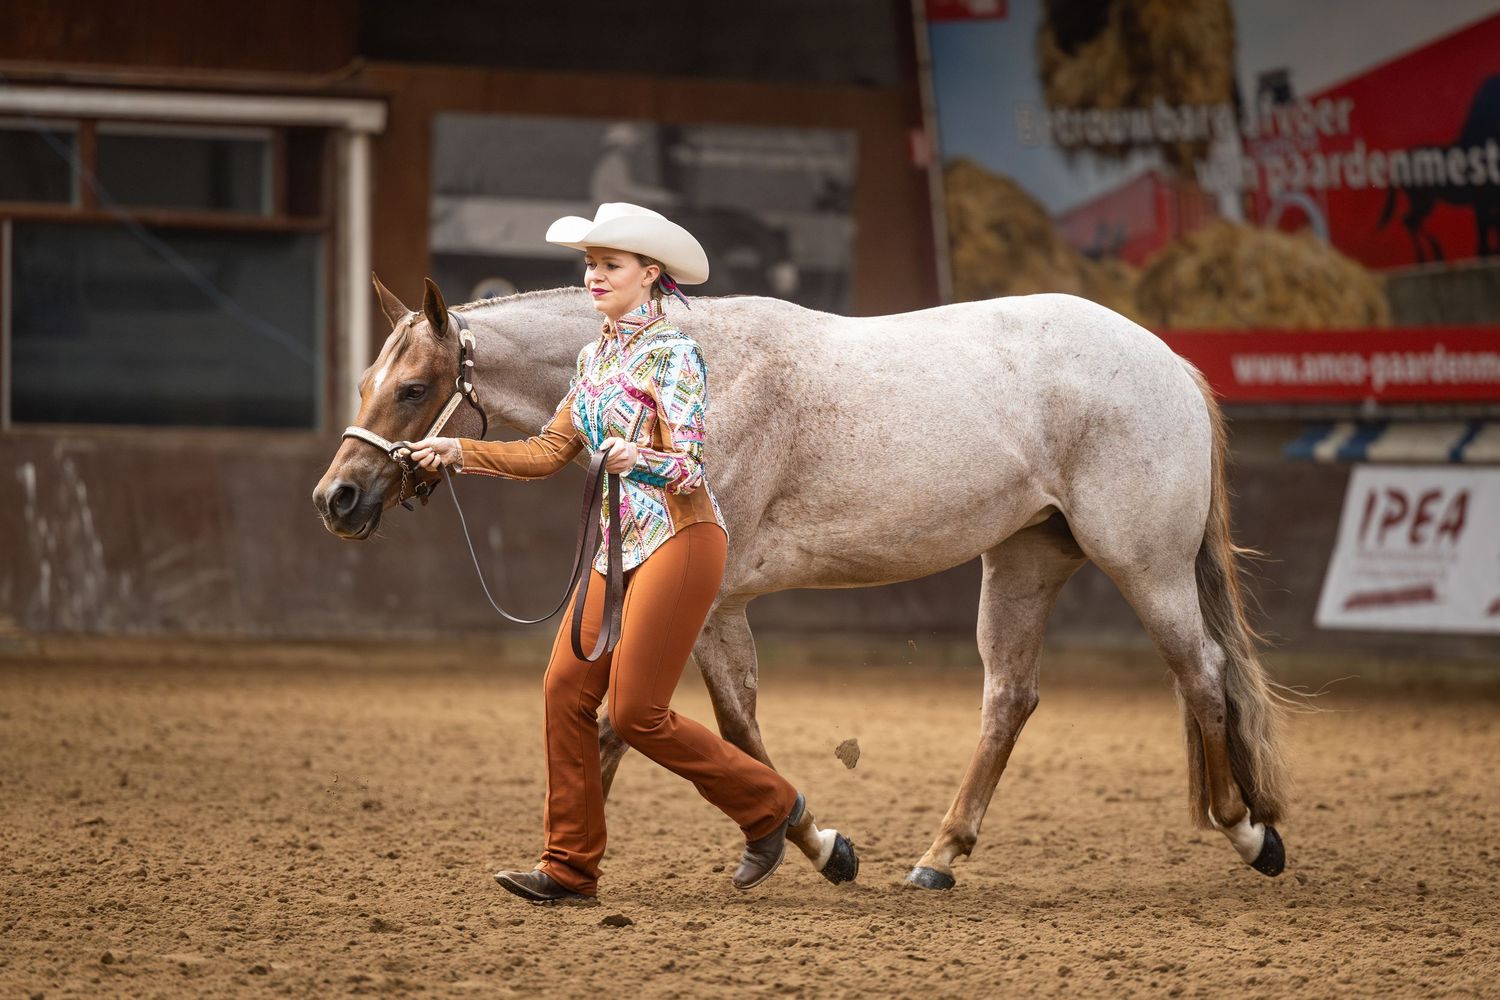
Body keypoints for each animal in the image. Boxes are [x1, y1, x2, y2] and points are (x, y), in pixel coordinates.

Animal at [312, 275, 1293, 890]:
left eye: (413, 387)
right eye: (366, 380)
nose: (337, 498)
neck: (695, 369)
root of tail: (1168, 362)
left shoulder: (710, 601)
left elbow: (709, 725)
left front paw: (811, 846)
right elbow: (642, 725)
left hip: (1145, 565)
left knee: (1202, 676)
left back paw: (1250, 832)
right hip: (1025, 558)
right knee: (1011, 696)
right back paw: (938, 857)